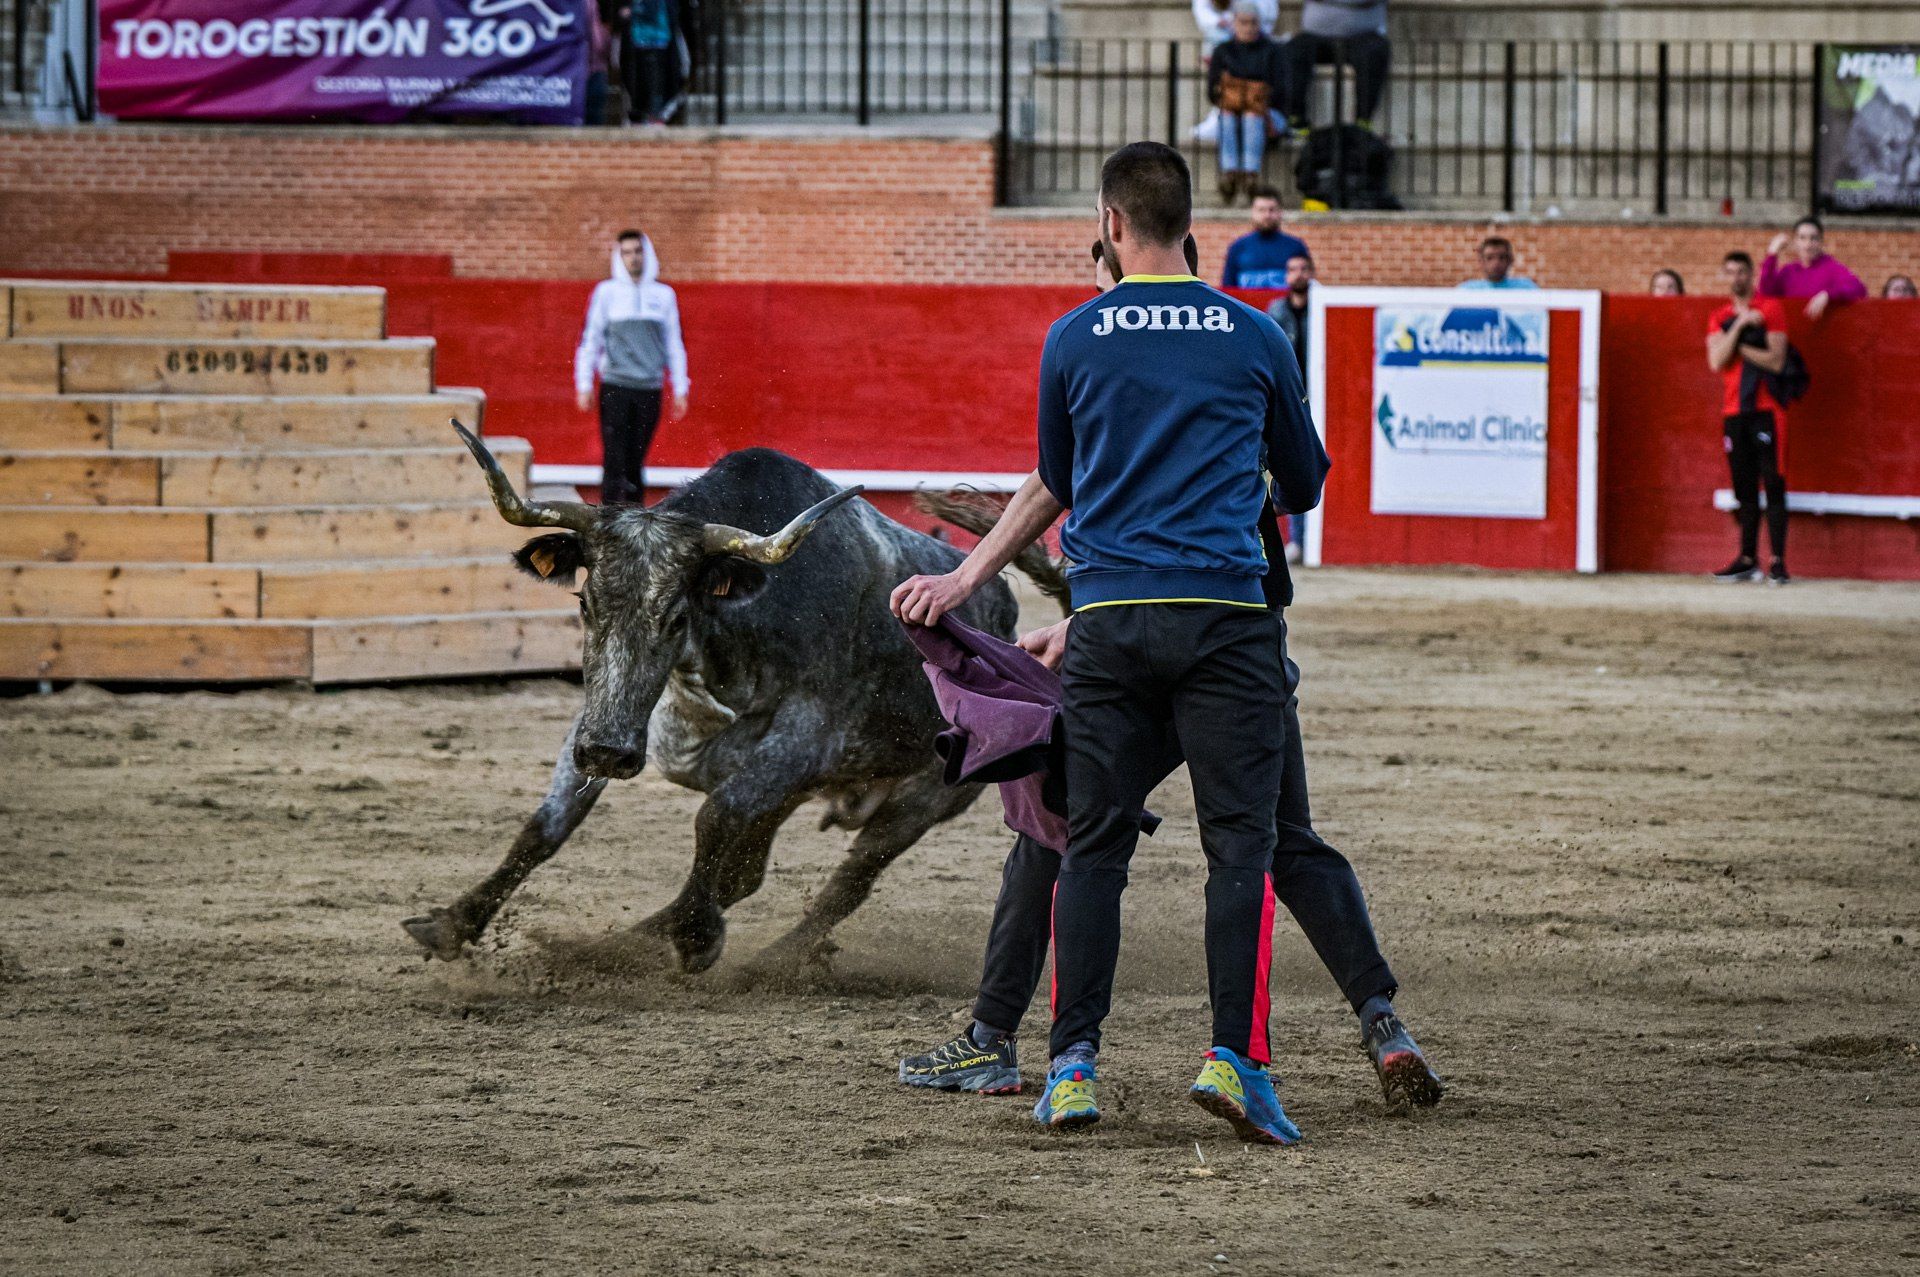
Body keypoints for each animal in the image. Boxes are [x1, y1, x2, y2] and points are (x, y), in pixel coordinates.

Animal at [403, 422, 1021, 971]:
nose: (607, 753)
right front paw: (452, 923)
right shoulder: (607, 717)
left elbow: (716, 816)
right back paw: (619, 944)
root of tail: (1010, 624)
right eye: (585, 604)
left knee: (851, 879)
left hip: (922, 801)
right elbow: (550, 821)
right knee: (745, 876)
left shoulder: (803, 741)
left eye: (677, 617)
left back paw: (764, 959)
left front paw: (698, 938)